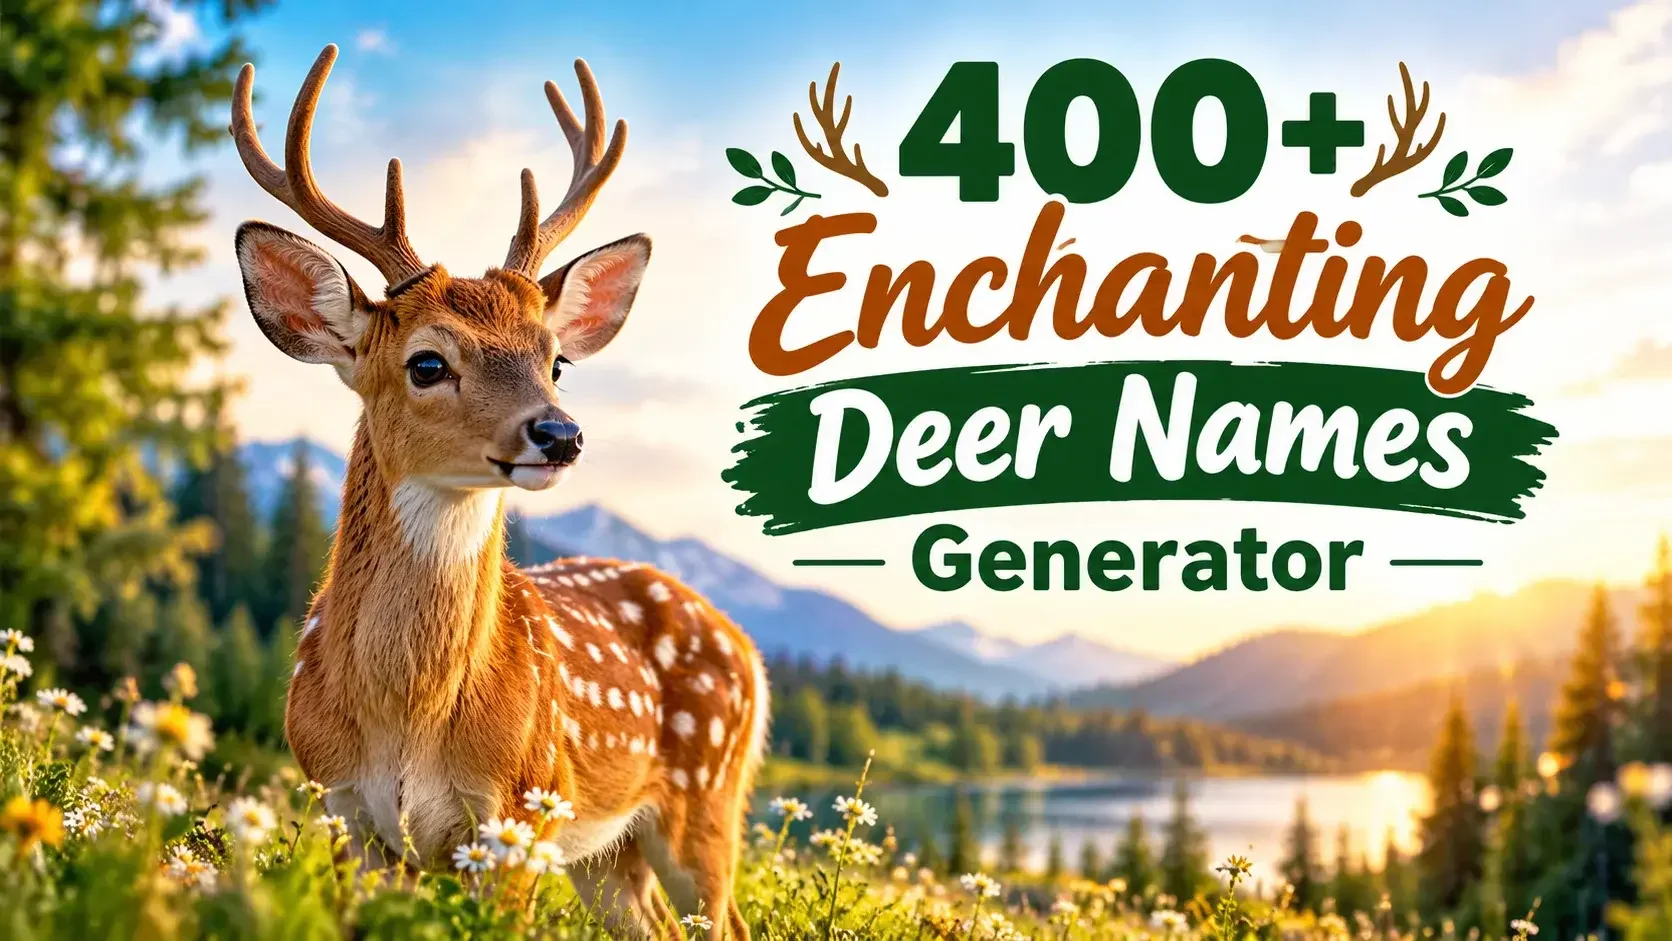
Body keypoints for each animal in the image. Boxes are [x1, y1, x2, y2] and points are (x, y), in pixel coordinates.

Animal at [229, 44, 767, 939]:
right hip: (609, 853)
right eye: (426, 361)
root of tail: (749, 648)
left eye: (557, 359)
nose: (560, 433)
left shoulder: (519, 809)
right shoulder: (342, 809)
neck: (406, 720)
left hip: (704, 801)